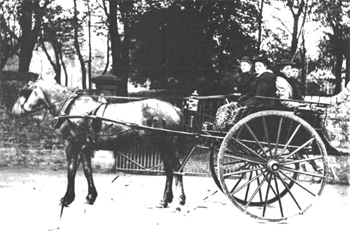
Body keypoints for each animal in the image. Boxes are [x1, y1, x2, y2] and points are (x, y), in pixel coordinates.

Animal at [11, 78, 186, 208]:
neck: (72, 107)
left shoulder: (72, 144)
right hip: (163, 147)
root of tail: (174, 108)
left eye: (24, 92)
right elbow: (87, 170)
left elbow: (71, 171)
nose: (14, 111)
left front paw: (67, 198)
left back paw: (180, 200)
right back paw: (165, 200)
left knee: (177, 169)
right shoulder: (84, 147)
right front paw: (90, 196)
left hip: (168, 145)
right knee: (169, 171)